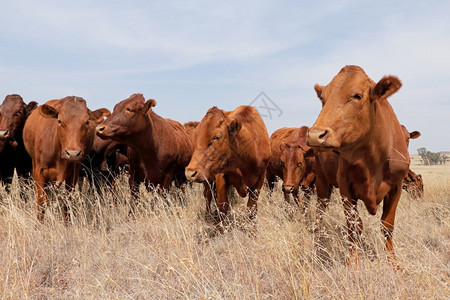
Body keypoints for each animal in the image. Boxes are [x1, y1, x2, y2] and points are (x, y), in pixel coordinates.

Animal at [308, 65, 410, 264]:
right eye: (323, 98)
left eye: (357, 96)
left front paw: (393, 264)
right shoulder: (346, 187)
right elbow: (354, 227)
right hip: (322, 183)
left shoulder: (397, 186)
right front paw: (352, 263)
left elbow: (387, 227)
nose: (315, 135)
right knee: (319, 215)